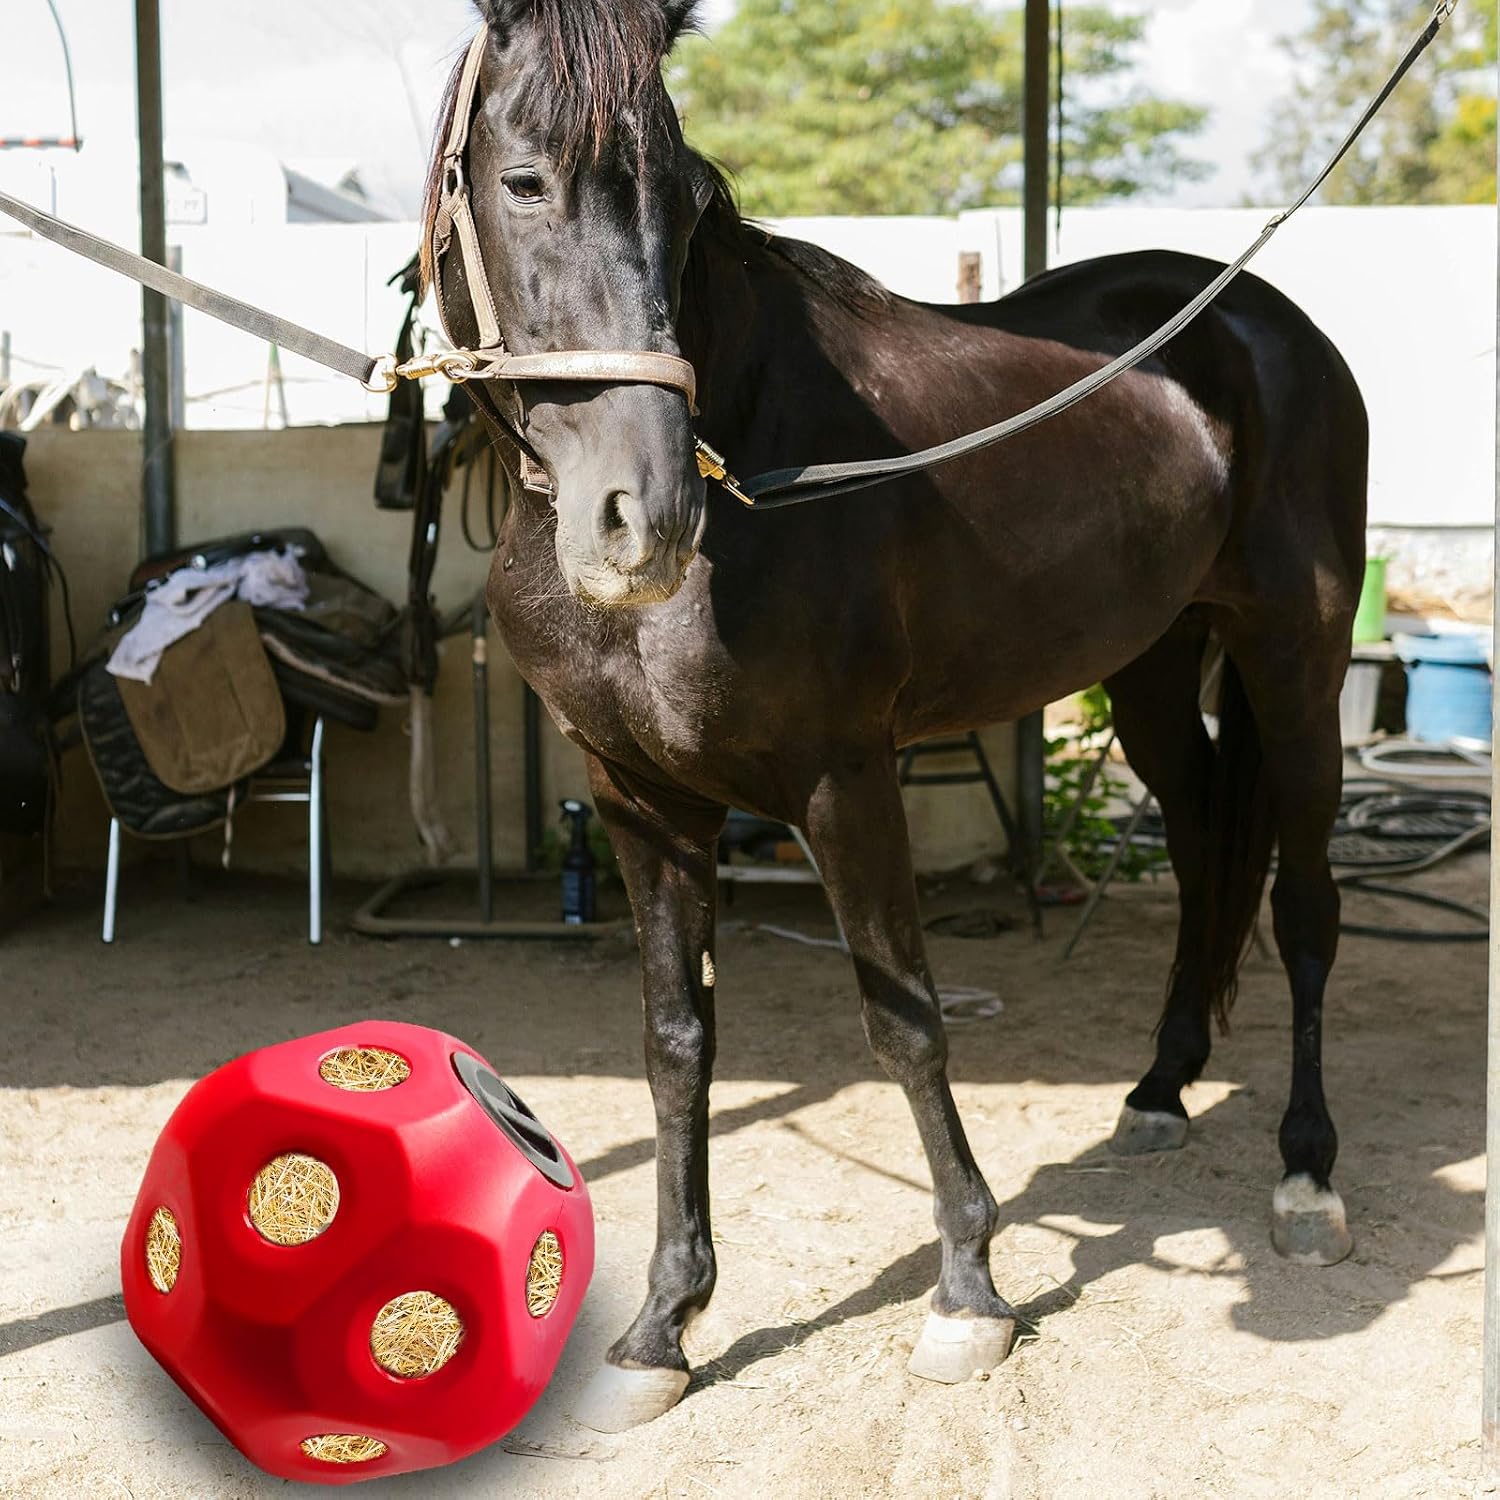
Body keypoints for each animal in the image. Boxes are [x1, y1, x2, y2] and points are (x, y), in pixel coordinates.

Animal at [427, 0, 1368, 1429]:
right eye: (524, 181)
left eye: (687, 200)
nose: (644, 514)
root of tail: (1264, 324)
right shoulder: (642, 800)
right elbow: (676, 1043)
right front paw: (661, 1328)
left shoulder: (843, 781)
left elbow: (907, 1021)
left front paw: (970, 1294)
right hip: (1151, 670)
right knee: (1210, 841)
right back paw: (1158, 1091)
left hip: (1296, 659)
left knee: (1305, 903)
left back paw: (1306, 1174)